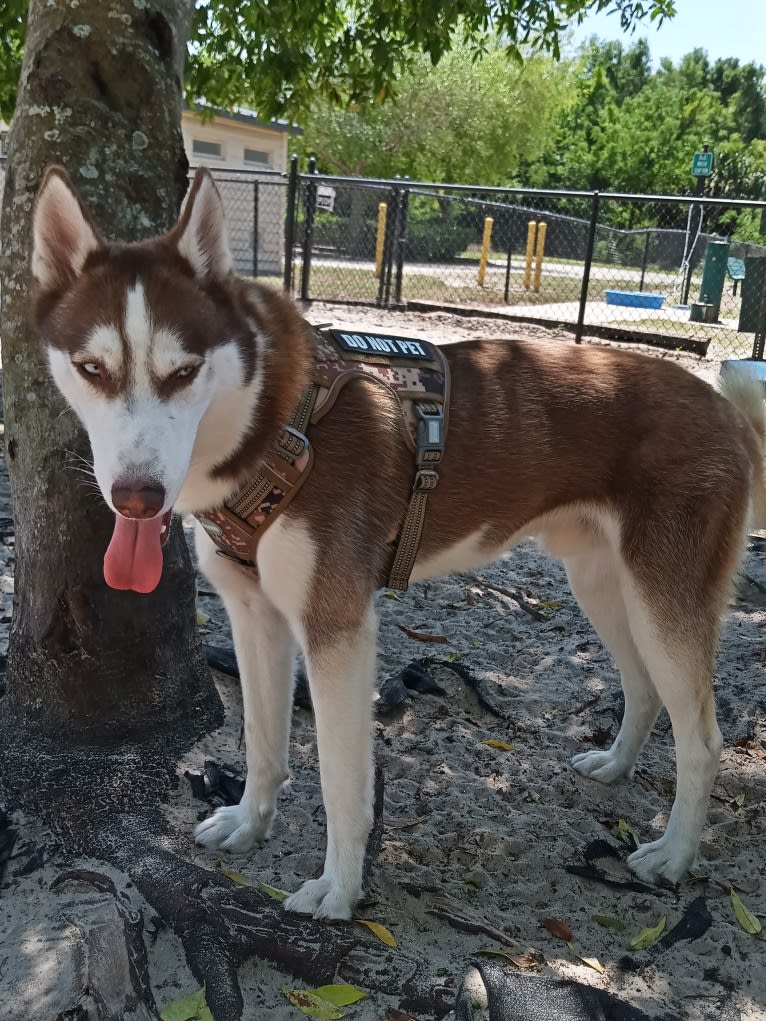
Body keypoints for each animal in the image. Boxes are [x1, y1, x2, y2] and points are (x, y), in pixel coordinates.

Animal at [32, 167, 766, 918]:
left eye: (183, 372)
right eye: (92, 368)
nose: (138, 496)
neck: (278, 421)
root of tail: (723, 409)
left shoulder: (336, 629)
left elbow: (340, 782)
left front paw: (339, 889)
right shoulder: (255, 616)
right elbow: (263, 741)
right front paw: (249, 822)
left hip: (663, 603)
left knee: (702, 739)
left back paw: (674, 855)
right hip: (604, 586)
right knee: (644, 691)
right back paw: (615, 766)